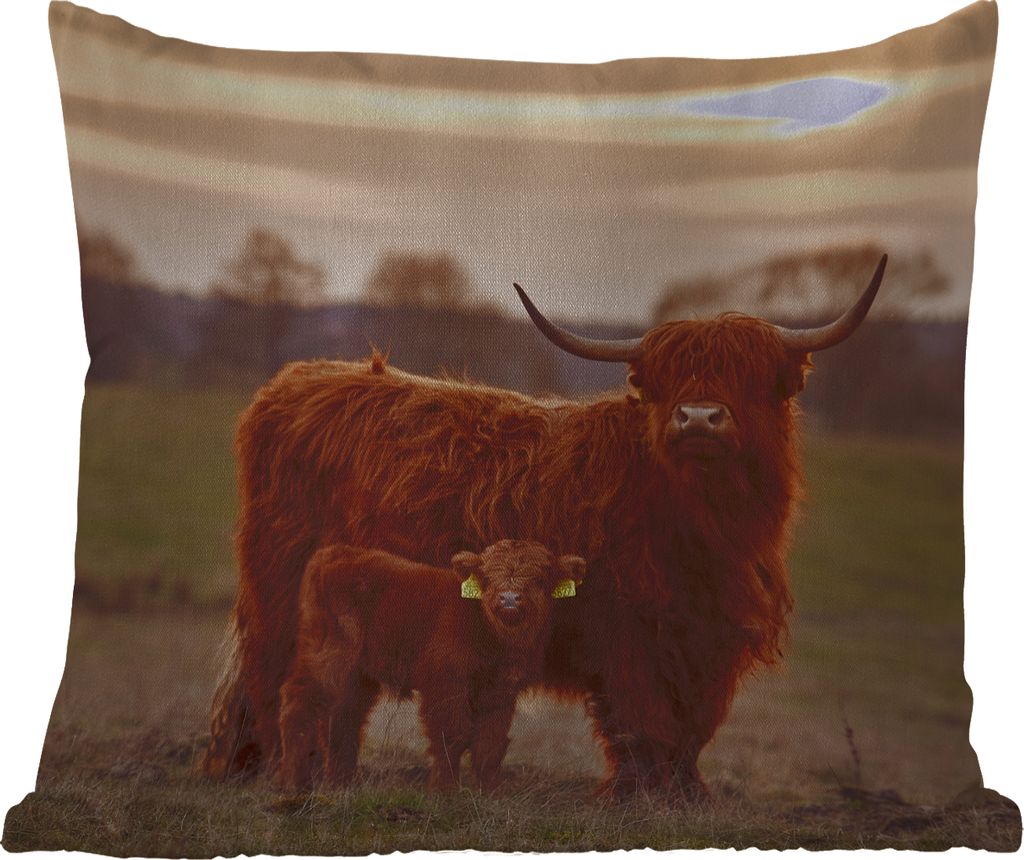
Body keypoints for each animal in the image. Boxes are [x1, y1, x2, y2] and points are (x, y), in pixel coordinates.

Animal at [275, 540, 585, 792]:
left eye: (540, 577)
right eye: (487, 577)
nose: (509, 598)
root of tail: (334, 553)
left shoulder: (501, 693)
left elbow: (490, 744)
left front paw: (492, 793)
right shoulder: (446, 685)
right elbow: (452, 736)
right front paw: (444, 791)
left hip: (356, 675)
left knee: (343, 718)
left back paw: (342, 784)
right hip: (328, 658)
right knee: (299, 706)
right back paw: (294, 784)